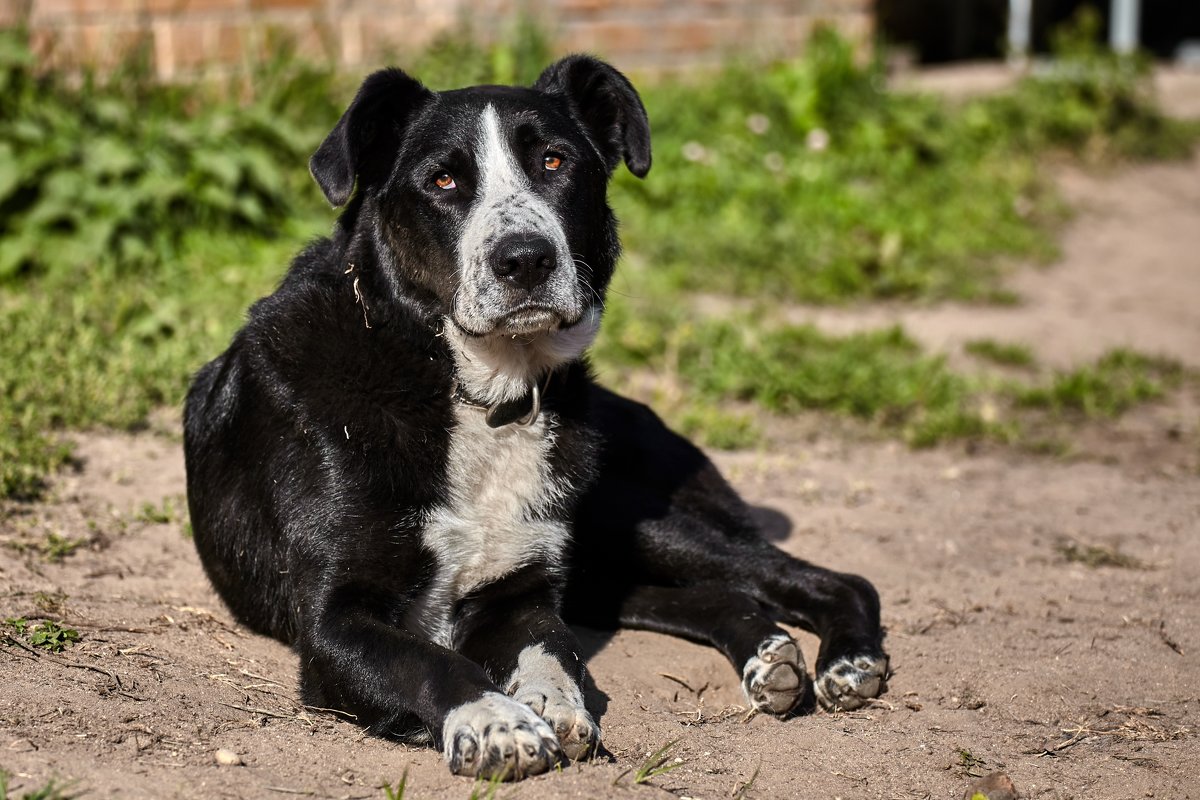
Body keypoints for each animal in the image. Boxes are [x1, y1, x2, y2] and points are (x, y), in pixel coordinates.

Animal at [182, 56, 888, 782]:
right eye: (442, 179)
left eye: (554, 161)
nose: (524, 258)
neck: (473, 393)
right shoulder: (335, 622)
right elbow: (431, 660)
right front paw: (496, 720)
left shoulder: (519, 592)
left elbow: (552, 649)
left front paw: (552, 705)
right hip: (608, 560)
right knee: (714, 596)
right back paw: (770, 657)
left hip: (632, 516)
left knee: (831, 579)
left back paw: (848, 661)